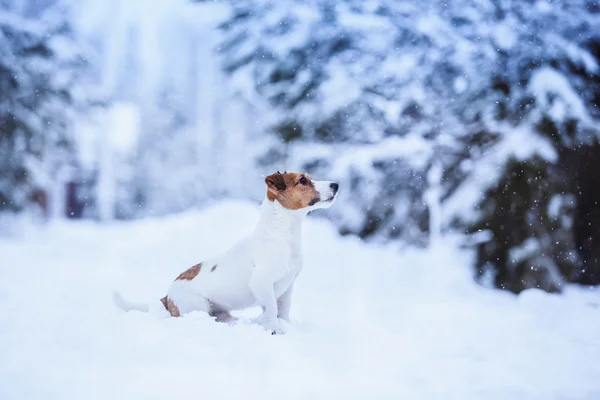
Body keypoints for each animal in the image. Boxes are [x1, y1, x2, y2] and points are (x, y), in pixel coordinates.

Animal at [112, 170, 338, 332]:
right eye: (302, 180)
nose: (336, 184)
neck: (281, 235)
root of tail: (167, 297)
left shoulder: (288, 285)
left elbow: (283, 310)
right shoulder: (262, 284)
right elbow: (272, 309)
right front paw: (275, 330)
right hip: (198, 306)